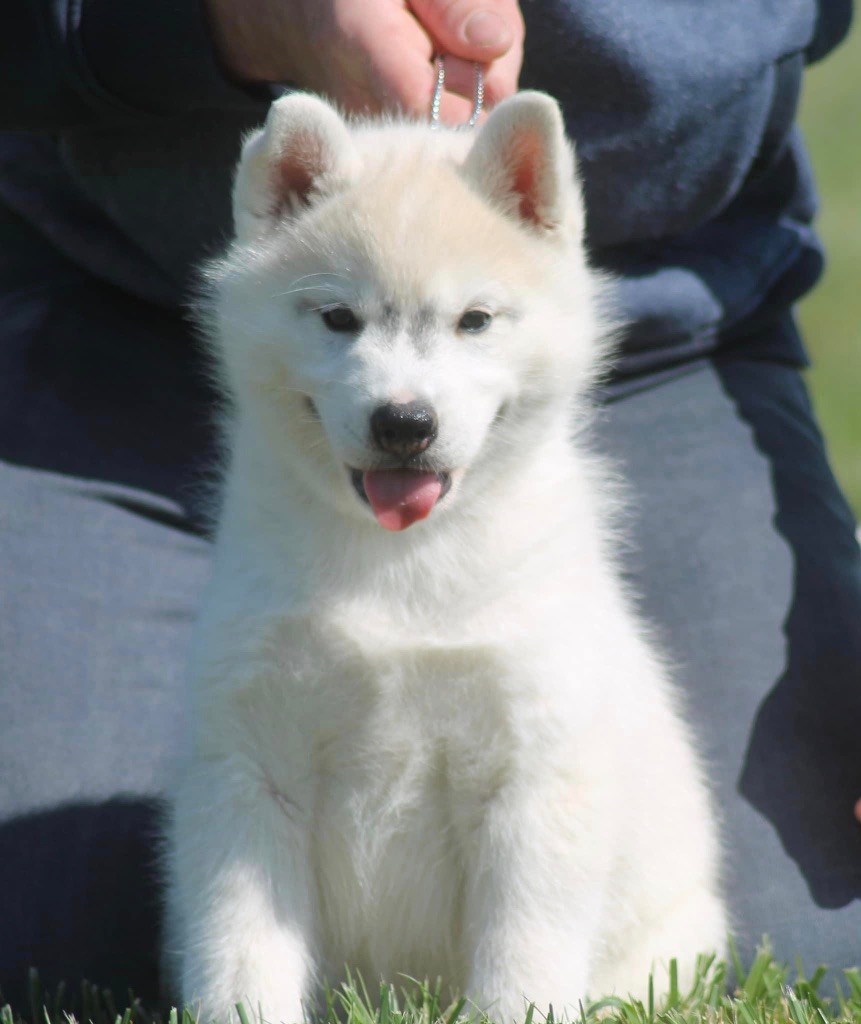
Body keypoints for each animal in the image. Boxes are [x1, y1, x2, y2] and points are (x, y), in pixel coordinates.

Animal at [162, 92, 724, 1019]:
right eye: (337, 317)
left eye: (474, 321)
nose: (404, 423)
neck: (402, 567)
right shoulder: (251, 773)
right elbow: (242, 957)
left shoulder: (532, 781)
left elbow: (520, 966)